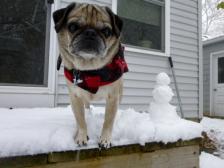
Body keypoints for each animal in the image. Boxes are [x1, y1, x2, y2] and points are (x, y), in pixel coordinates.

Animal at [52, 2, 128, 148]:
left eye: (106, 31)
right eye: (73, 27)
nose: (90, 32)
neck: (91, 70)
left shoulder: (113, 97)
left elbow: (108, 121)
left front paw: (105, 139)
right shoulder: (75, 97)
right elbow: (80, 119)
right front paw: (81, 136)